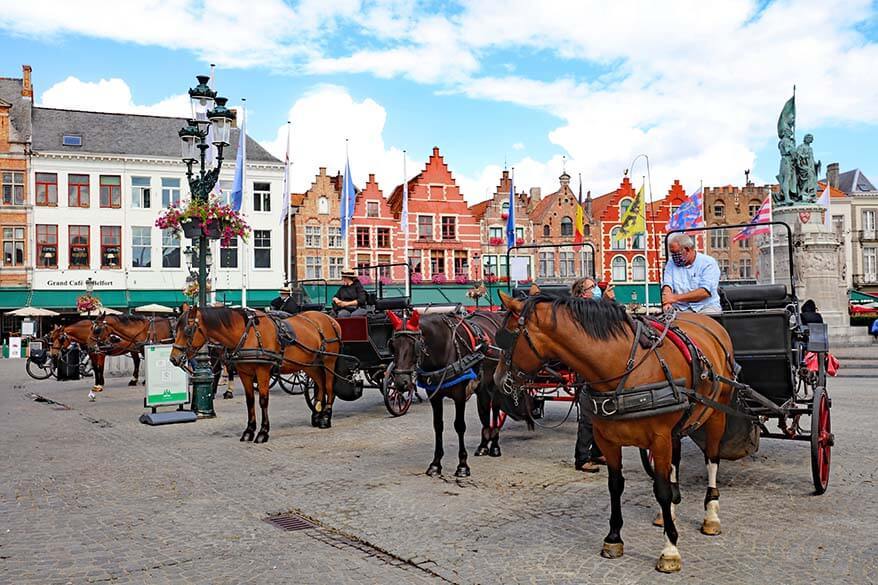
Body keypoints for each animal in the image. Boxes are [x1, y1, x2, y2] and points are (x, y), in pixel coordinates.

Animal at [169, 308, 344, 440]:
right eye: (175, 329)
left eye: (188, 330)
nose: (173, 358)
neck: (248, 334)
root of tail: (329, 318)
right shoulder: (244, 373)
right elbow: (250, 401)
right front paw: (249, 430)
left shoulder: (262, 372)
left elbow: (263, 401)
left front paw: (263, 432)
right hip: (310, 365)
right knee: (320, 385)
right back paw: (317, 415)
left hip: (329, 361)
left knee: (329, 387)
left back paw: (325, 418)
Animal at [388, 308, 532, 476]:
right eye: (393, 345)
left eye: (414, 345)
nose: (401, 382)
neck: (444, 348)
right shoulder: (435, 396)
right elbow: (438, 426)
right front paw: (436, 464)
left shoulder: (460, 395)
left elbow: (460, 426)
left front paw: (462, 465)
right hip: (482, 386)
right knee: (484, 410)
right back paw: (484, 445)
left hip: (495, 383)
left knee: (495, 410)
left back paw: (495, 446)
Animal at [498, 292, 740, 572]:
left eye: (505, 335)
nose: (497, 378)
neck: (623, 370)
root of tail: (710, 324)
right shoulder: (608, 440)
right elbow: (616, 485)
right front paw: (614, 538)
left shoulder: (659, 439)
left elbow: (661, 489)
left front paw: (670, 549)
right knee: (674, 462)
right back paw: (667, 514)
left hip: (716, 416)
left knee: (712, 461)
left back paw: (711, 515)